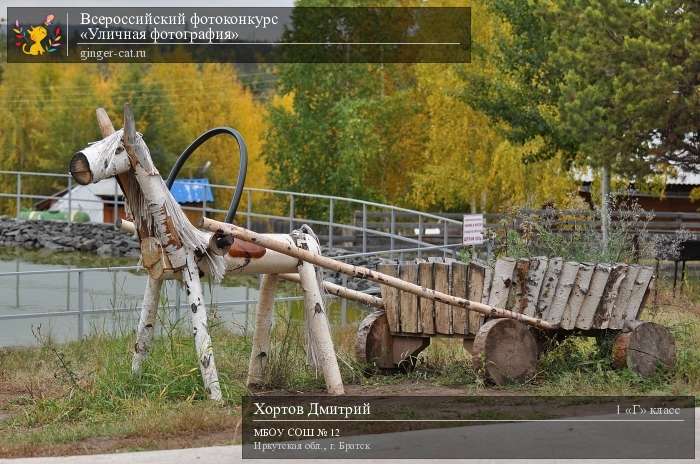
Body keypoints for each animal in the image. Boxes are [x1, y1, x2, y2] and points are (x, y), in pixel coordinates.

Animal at [69, 105, 344, 398]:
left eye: (119, 148)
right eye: (99, 143)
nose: (78, 163)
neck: (175, 233)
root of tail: (303, 235)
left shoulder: (191, 275)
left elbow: (203, 346)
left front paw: (216, 398)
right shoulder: (156, 278)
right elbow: (142, 337)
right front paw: (134, 379)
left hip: (306, 269)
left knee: (320, 327)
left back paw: (336, 388)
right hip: (275, 269)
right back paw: (255, 381)